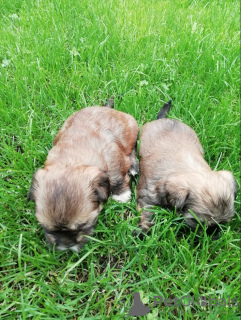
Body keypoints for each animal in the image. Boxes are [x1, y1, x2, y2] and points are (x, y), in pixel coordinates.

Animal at [27, 96, 139, 251]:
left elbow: (116, 177)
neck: (71, 160)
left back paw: (133, 166)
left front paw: (121, 195)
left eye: (82, 226)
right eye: (47, 228)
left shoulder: (114, 159)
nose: (66, 246)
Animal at [137, 101, 237, 234]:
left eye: (223, 223)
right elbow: (147, 213)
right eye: (195, 221)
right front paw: (144, 230)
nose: (213, 233)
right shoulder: (147, 196)